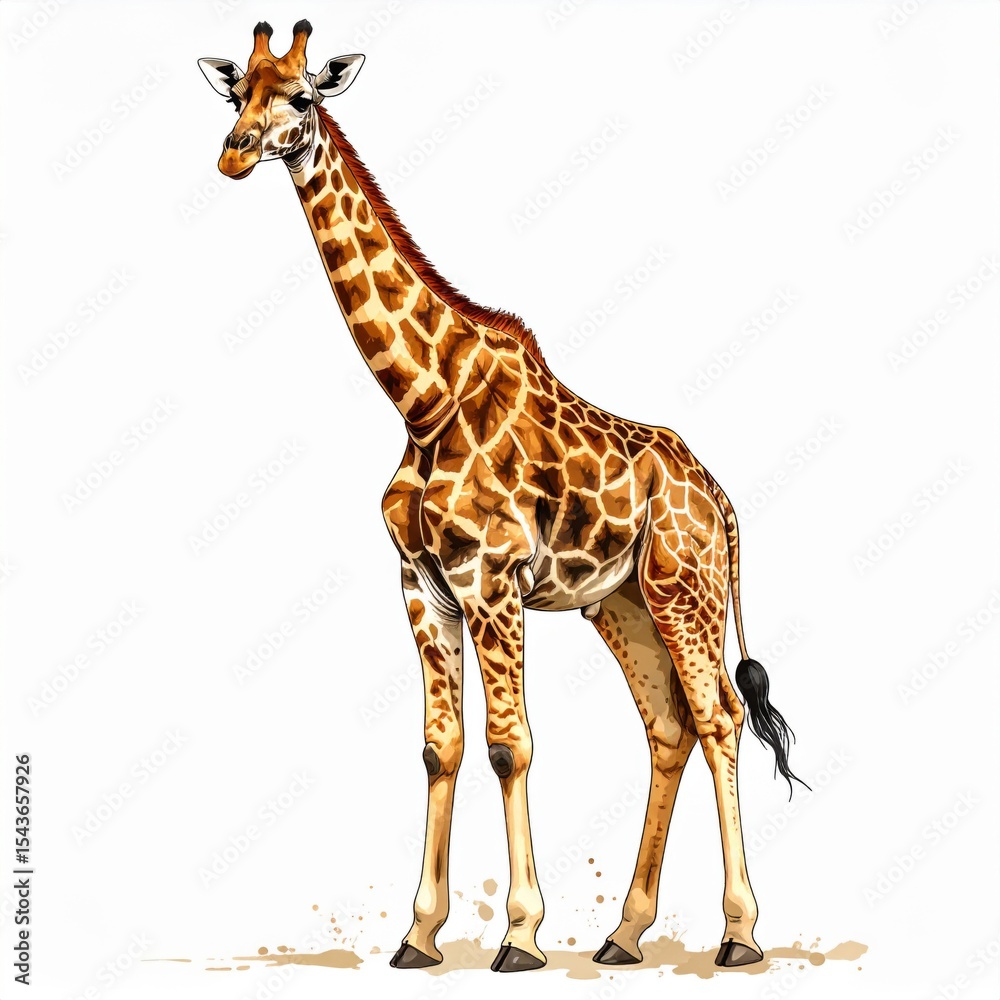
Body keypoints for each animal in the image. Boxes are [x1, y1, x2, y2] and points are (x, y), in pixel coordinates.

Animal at [199, 20, 805, 974]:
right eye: (235, 94)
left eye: (301, 96)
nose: (233, 153)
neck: (422, 398)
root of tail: (720, 499)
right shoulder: (423, 587)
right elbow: (438, 748)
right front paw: (417, 935)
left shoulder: (492, 581)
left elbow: (507, 746)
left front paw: (519, 934)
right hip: (622, 604)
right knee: (667, 727)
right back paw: (623, 933)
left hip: (687, 588)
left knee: (721, 717)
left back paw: (739, 934)